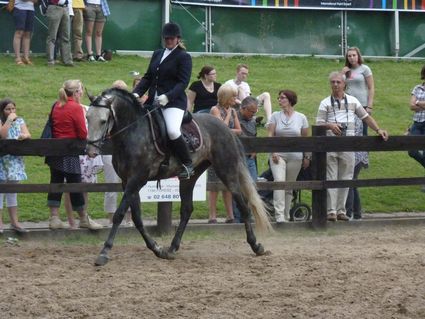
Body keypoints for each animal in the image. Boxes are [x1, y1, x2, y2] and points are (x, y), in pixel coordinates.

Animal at [86, 89, 272, 266]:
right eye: (87, 118)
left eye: (103, 121)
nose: (91, 151)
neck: (133, 132)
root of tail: (227, 129)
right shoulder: (127, 183)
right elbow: (137, 218)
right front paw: (157, 249)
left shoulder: (136, 180)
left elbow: (119, 214)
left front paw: (104, 252)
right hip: (190, 178)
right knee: (187, 210)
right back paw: (172, 248)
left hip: (227, 172)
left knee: (244, 207)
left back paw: (256, 246)